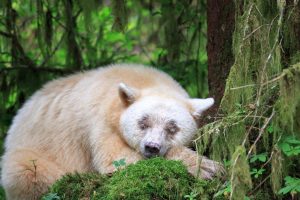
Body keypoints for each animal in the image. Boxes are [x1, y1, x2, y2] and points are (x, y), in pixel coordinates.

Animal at [0, 64, 223, 200]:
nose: (152, 147)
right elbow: (116, 159)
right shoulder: (101, 119)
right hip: (33, 150)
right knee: (26, 170)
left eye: (172, 128)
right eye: (143, 122)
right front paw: (205, 167)